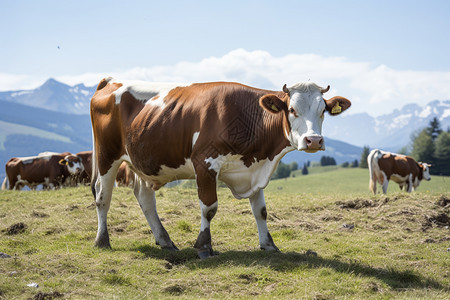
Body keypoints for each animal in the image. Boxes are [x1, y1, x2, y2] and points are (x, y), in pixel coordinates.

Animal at [90, 77, 352, 258]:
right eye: (291, 109)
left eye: (323, 111)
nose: (314, 140)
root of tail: (111, 81)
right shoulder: (204, 163)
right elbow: (209, 208)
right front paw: (204, 246)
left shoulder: (254, 170)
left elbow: (261, 211)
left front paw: (268, 244)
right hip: (106, 156)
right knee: (102, 197)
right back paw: (102, 240)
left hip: (145, 162)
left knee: (145, 199)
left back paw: (165, 241)